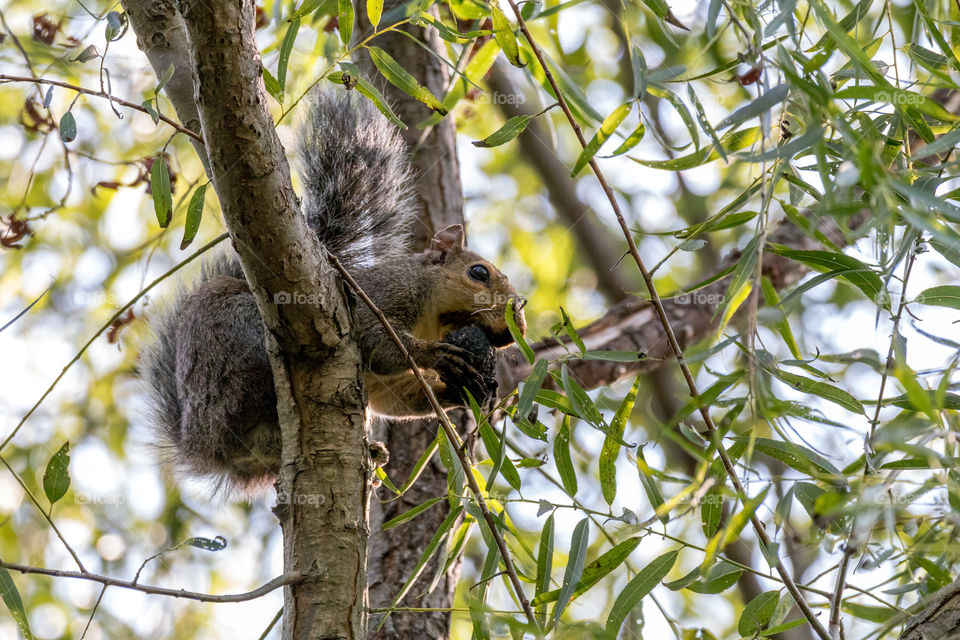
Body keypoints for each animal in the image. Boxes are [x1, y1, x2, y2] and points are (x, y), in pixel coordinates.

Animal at [138, 87, 524, 492]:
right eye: (478, 272)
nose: (517, 325)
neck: (435, 320)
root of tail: (203, 446)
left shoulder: (390, 386)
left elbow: (397, 398)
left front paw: (470, 390)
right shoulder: (381, 294)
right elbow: (378, 344)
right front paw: (435, 355)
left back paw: (371, 452)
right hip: (238, 347)